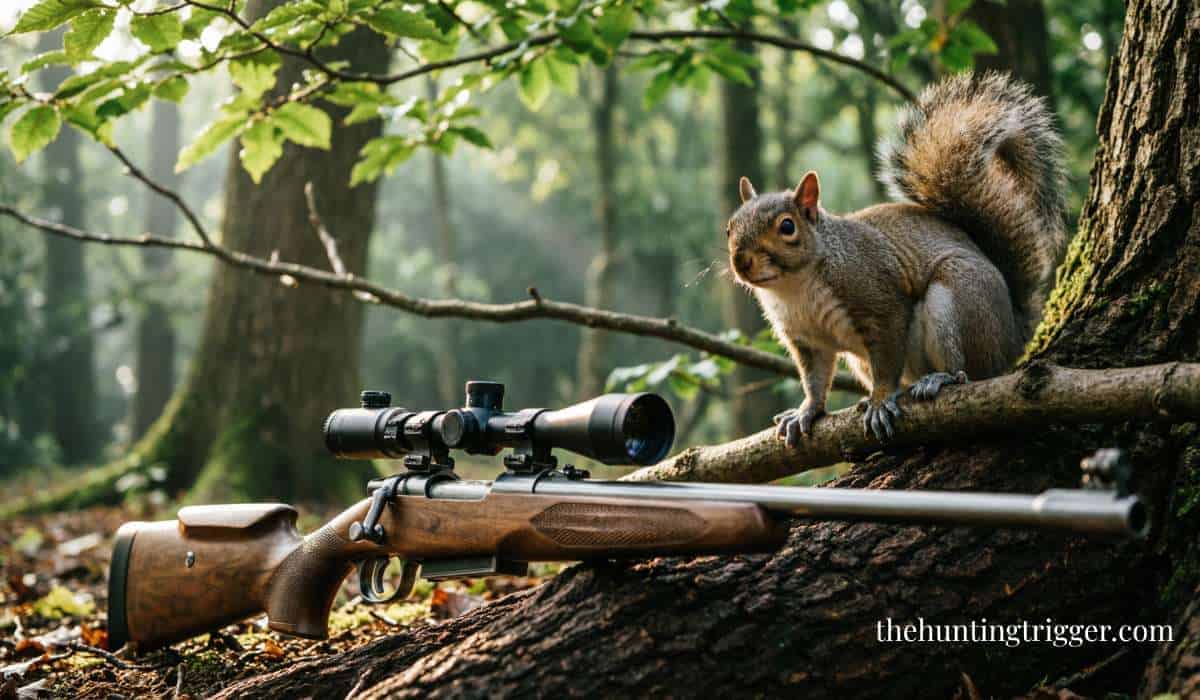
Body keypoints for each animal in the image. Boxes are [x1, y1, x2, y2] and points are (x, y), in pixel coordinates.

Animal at [725, 72, 1068, 444]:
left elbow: (887, 362)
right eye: (729, 227)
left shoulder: (879, 301)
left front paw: (879, 401)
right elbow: (814, 380)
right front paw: (807, 410)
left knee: (972, 372)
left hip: (959, 301)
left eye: (787, 226)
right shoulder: (805, 339)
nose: (741, 262)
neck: (795, 286)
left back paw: (942, 378)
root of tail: (1012, 337)